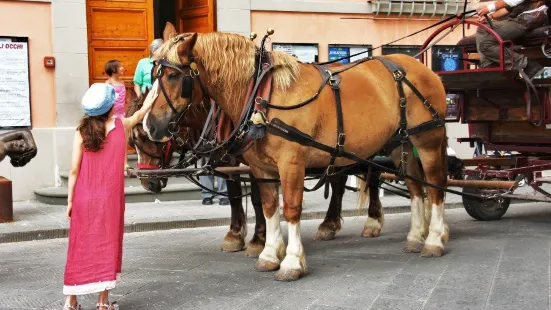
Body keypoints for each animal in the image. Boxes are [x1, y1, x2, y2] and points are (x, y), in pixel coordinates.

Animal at [143, 26, 448, 280]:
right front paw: (268, 253)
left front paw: (291, 261)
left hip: (427, 141)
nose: (150, 125)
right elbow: (268, 207)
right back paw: (415, 236)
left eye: (173, 76)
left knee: (435, 186)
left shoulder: (291, 163)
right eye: (154, 75)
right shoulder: (261, 168)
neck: (263, 93)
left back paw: (433, 238)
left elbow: (290, 208)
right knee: (415, 186)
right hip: (400, 144)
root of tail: (422, 67)